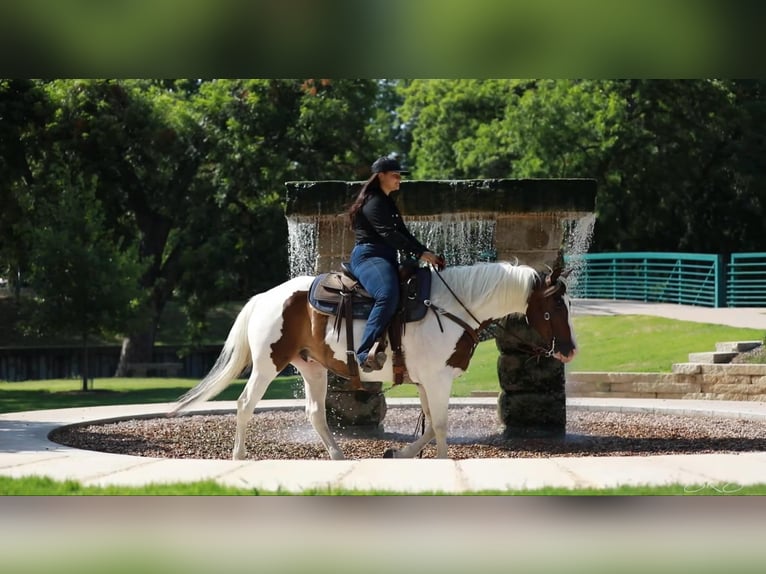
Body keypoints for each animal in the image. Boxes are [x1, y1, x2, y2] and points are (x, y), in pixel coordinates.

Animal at [169, 261, 577, 460]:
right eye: (556, 306)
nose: (570, 350)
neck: (450, 308)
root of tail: (264, 297)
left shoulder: (428, 381)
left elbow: (429, 427)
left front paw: (400, 452)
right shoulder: (438, 380)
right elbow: (440, 426)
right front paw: (441, 462)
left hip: (312, 368)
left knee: (314, 413)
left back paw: (337, 455)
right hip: (269, 365)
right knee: (244, 404)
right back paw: (238, 455)